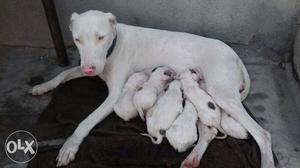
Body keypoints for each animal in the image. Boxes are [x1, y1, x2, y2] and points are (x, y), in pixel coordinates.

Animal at [31, 10, 276, 168]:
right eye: (77, 39)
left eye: (100, 37)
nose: (89, 68)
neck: (114, 43)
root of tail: (234, 54)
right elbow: (63, 74)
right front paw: (43, 85)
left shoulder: (113, 96)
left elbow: (85, 121)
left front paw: (69, 146)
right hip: (205, 94)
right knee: (209, 132)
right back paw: (193, 158)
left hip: (222, 95)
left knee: (263, 134)